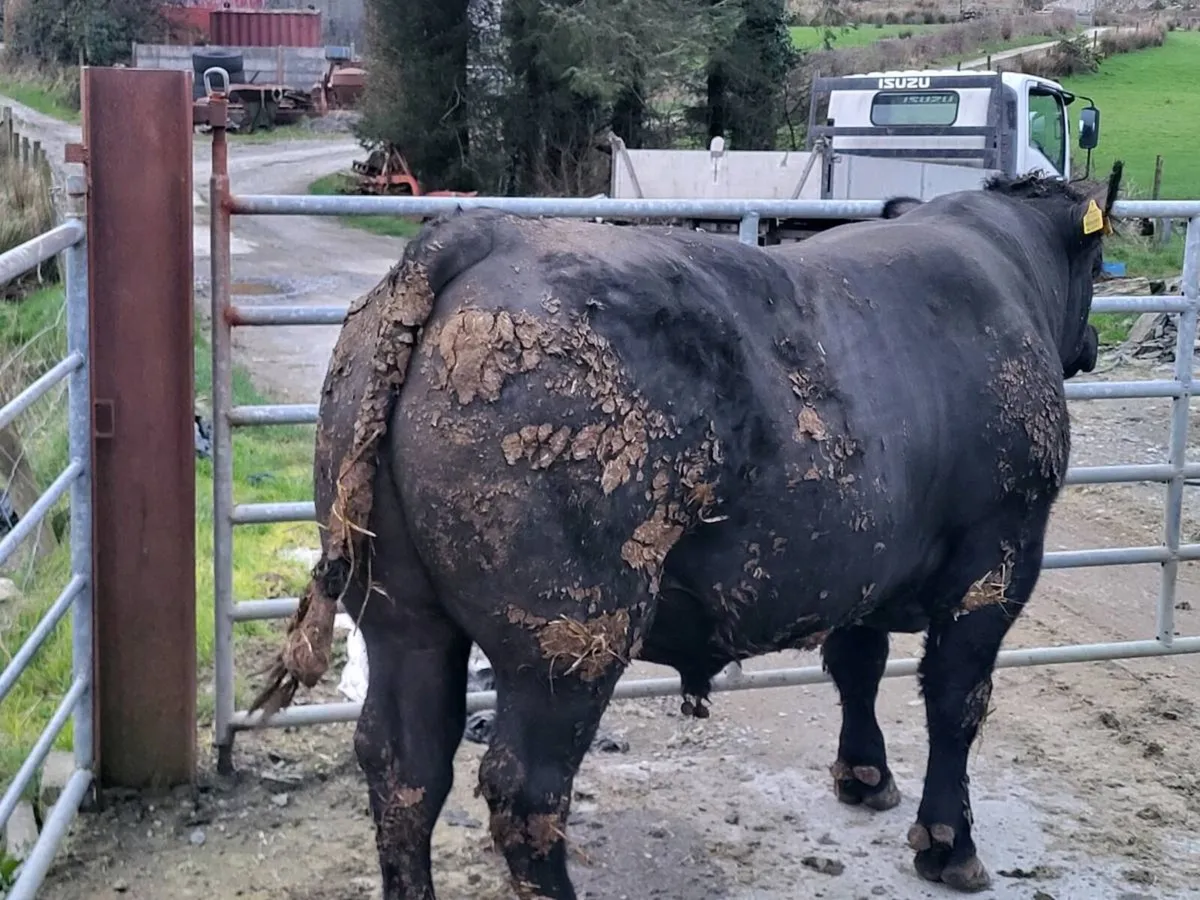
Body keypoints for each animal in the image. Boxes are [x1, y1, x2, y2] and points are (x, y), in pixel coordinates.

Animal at [251, 163, 1123, 898]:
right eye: (1101, 256)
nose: (1089, 344)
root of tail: (480, 235)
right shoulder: (1000, 552)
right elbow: (956, 698)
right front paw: (950, 843)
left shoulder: (865, 556)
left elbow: (858, 664)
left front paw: (864, 776)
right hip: (570, 632)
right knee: (524, 790)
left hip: (402, 613)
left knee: (404, 764)